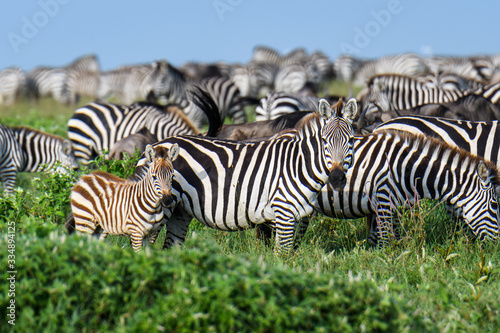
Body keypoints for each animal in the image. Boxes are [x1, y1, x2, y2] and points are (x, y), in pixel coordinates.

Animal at [133, 97, 360, 253]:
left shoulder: (297, 216)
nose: (337, 178)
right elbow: (282, 256)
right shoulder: (283, 212)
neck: (299, 164)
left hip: (180, 211)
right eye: (324, 141)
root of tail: (156, 145)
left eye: (351, 140)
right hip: (160, 208)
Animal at [316, 131, 500, 245]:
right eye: (494, 205)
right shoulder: (383, 200)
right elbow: (385, 240)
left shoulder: (396, 206)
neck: (406, 168)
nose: (495, 246)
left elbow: (395, 237)